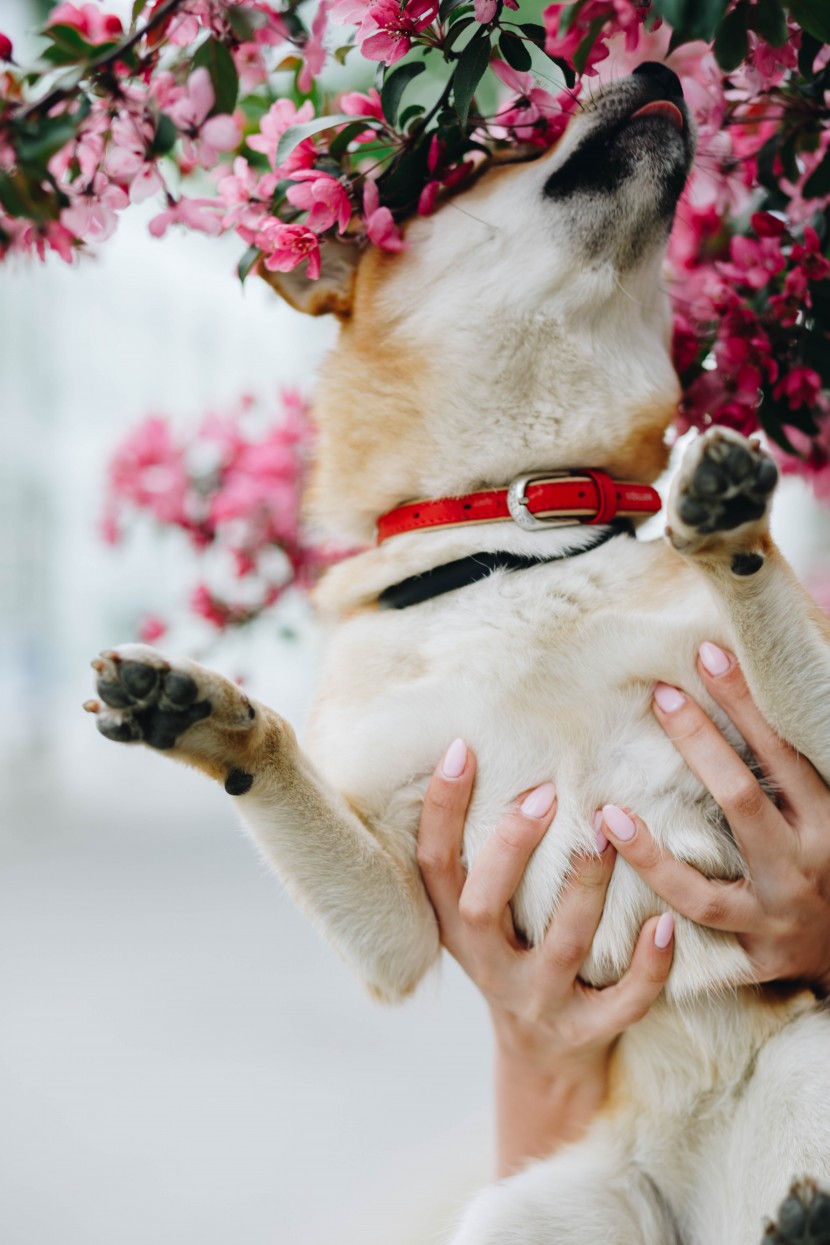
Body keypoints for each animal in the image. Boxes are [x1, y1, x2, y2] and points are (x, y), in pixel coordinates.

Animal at [85, 65, 830, 1245]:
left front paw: (726, 528)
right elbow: (287, 774)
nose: (659, 68)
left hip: (808, 1055)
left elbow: (762, 607)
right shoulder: (400, 910)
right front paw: (197, 713)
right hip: (522, 1216)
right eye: (490, 150)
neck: (517, 540)